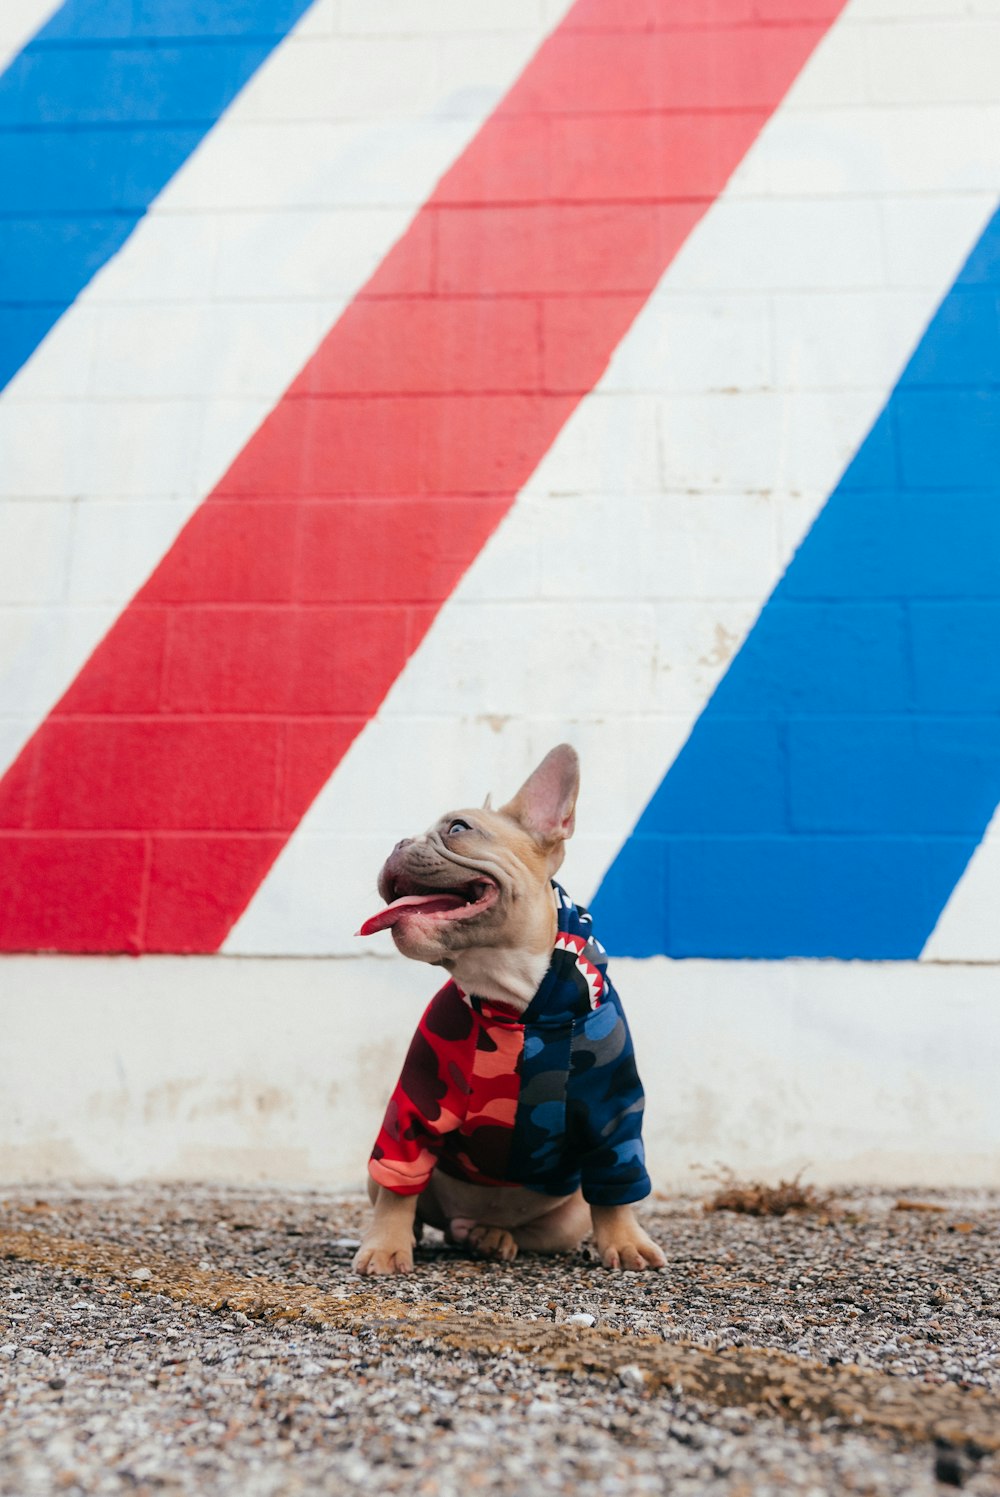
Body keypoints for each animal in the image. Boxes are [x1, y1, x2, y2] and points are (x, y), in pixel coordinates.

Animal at [351, 748, 664, 1275]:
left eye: (458, 828)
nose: (398, 842)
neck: (519, 1004)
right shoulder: (414, 1107)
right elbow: (398, 1187)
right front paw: (385, 1246)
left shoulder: (614, 1113)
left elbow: (617, 1185)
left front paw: (625, 1241)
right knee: (403, 1198)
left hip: (568, 1217)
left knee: (534, 1231)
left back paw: (491, 1237)